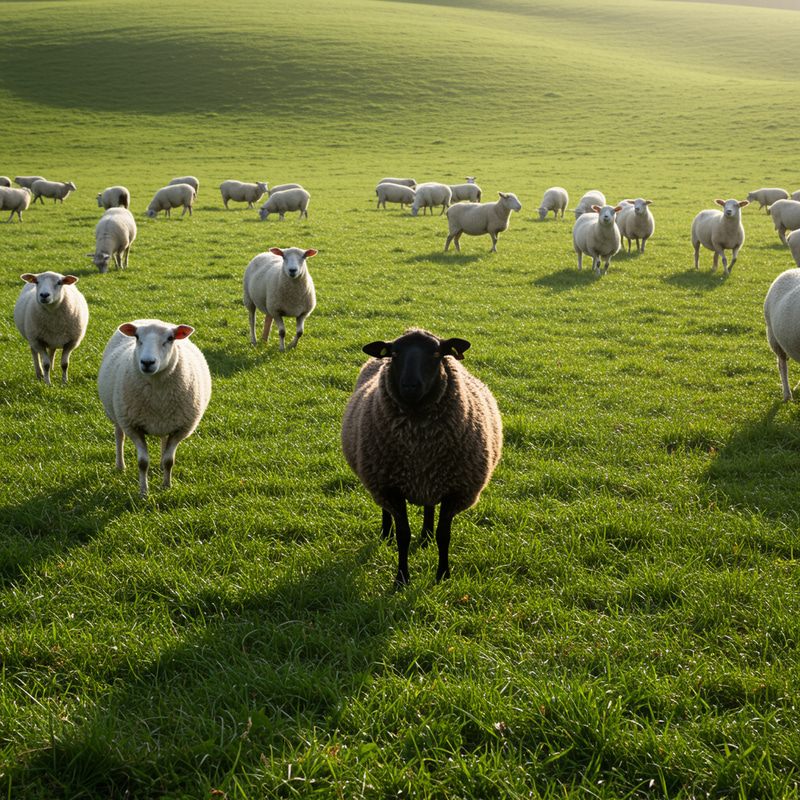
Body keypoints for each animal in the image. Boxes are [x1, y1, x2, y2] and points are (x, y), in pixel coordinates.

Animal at [97, 319, 212, 495]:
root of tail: (150, 319)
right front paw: (143, 492)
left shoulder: (180, 428)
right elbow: (143, 462)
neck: (158, 398)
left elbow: (169, 461)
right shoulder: (133, 427)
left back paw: (160, 466)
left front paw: (166, 486)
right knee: (119, 436)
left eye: (170, 338)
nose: (147, 362)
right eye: (137, 337)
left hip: (168, 420)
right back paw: (120, 466)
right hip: (116, 413)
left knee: (164, 439)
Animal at [341, 327, 503, 585]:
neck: (419, 447)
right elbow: (403, 535)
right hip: (379, 477)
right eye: (395, 354)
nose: (410, 386)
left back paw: (426, 537)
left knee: (428, 507)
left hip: (434, 479)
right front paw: (401, 579)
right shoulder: (390, 488)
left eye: (436, 353)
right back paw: (385, 535)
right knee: (386, 511)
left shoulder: (455, 490)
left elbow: (444, 535)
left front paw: (443, 575)